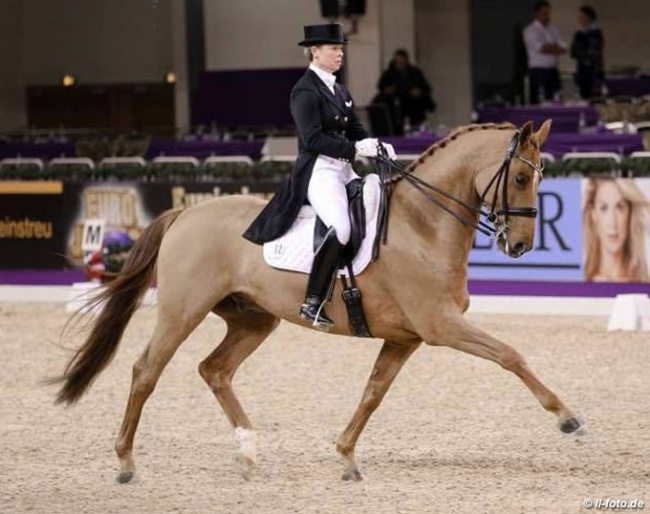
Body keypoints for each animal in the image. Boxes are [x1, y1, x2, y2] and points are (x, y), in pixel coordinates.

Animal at [53, 119, 584, 480]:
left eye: (541, 177)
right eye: (520, 179)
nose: (520, 246)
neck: (421, 224)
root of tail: (184, 215)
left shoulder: (406, 338)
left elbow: (373, 392)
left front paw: (346, 456)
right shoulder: (440, 325)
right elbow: (510, 355)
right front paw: (566, 417)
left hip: (252, 319)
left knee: (215, 370)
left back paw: (248, 452)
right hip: (183, 311)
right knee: (146, 370)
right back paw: (126, 462)